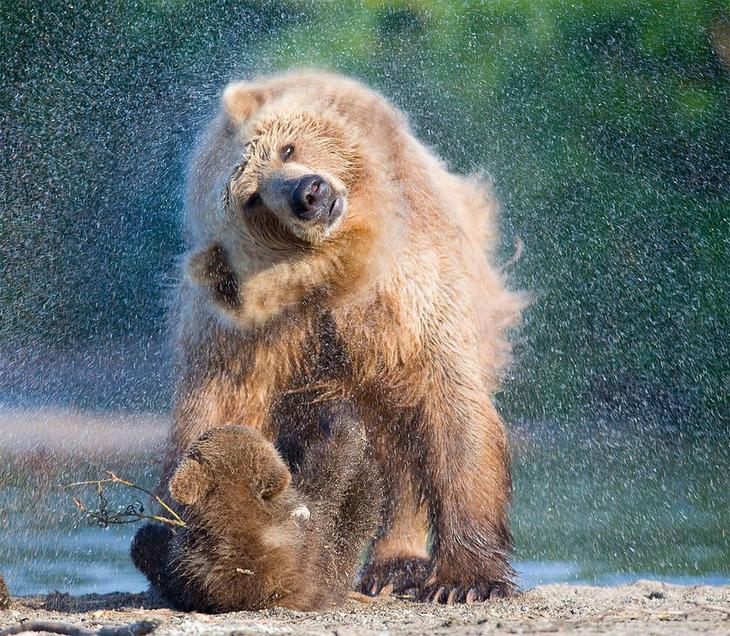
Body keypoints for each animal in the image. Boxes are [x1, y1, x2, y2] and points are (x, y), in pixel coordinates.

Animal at [159, 69, 524, 600]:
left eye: (287, 147)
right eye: (252, 198)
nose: (309, 193)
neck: (334, 277)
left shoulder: (408, 294)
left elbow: (450, 410)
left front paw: (467, 580)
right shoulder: (242, 340)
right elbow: (219, 414)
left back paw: (395, 564)